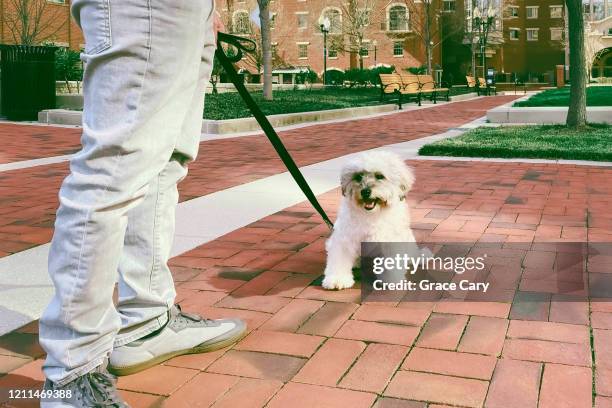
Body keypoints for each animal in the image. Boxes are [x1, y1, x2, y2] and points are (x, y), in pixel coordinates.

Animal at [320, 151, 416, 290]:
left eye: (380, 176)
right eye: (358, 177)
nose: (365, 191)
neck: (371, 215)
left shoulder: (392, 242)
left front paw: (391, 280)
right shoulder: (344, 240)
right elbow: (339, 260)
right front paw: (337, 279)